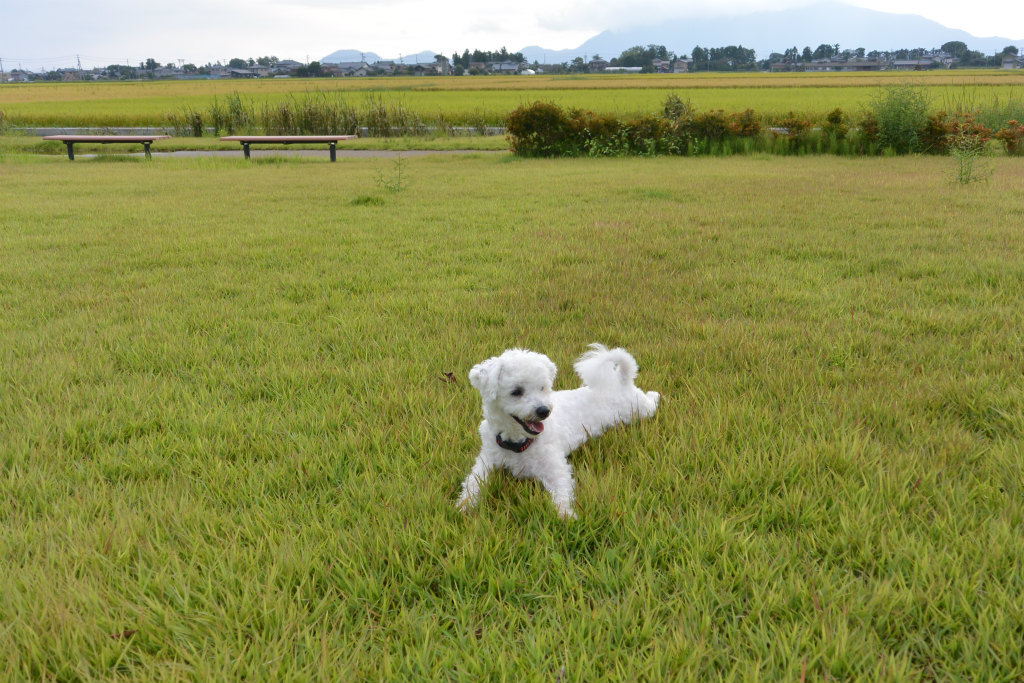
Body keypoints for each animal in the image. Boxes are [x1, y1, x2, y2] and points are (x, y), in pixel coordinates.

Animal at [454, 344, 655, 520]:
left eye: (542, 387)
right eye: (516, 392)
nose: (544, 411)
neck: (519, 443)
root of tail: (621, 381)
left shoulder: (555, 468)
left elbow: (562, 492)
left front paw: (565, 515)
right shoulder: (486, 461)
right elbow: (472, 482)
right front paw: (465, 505)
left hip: (639, 411)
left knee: (652, 403)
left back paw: (654, 395)